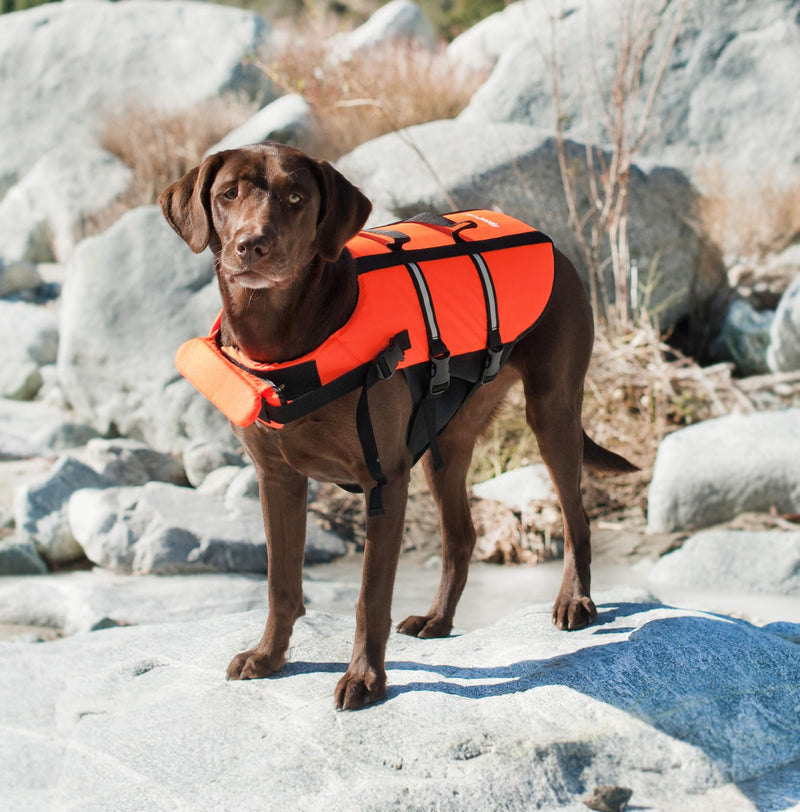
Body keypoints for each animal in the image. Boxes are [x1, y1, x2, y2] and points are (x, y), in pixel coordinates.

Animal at [161, 143, 636, 708]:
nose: (251, 244)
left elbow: (371, 597)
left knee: (575, 517)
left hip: (552, 412)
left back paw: (575, 601)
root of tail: (553, 245)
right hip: (444, 442)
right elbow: (281, 583)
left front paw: (365, 678)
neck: (286, 336)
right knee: (461, 536)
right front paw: (269, 656)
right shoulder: (276, 479)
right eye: (227, 194)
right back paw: (438, 618)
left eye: (297, 198)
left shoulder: (384, 479)